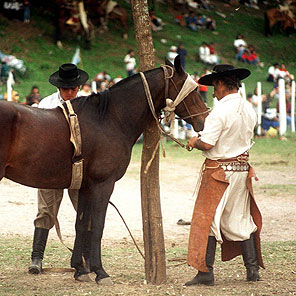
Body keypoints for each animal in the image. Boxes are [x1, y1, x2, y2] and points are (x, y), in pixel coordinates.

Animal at [0, 56, 208, 284]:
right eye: (193, 89)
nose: (205, 119)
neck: (110, 119)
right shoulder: (103, 184)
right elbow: (97, 226)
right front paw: (100, 271)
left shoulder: (84, 186)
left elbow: (82, 225)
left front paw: (80, 269)